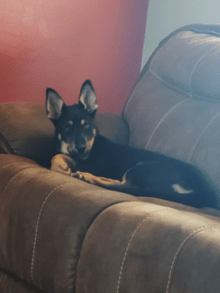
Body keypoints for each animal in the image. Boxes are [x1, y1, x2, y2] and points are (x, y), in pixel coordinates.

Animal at [45, 79, 217, 208]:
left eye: (86, 125)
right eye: (67, 128)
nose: (82, 148)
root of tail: (202, 193)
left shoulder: (95, 165)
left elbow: (59, 156)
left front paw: (61, 166)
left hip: (142, 167)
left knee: (127, 187)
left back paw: (88, 177)